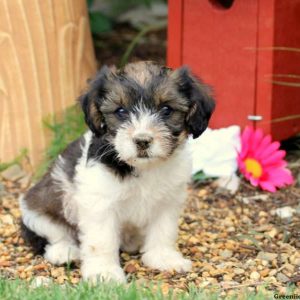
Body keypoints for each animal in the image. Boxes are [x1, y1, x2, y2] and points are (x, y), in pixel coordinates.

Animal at [18, 61, 214, 284]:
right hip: (39, 209)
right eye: (120, 111)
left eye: (166, 109)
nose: (142, 141)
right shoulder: (100, 203)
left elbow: (163, 230)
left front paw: (163, 257)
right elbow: (102, 240)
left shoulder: (168, 201)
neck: (142, 167)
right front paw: (104, 273)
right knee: (51, 234)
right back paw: (63, 252)